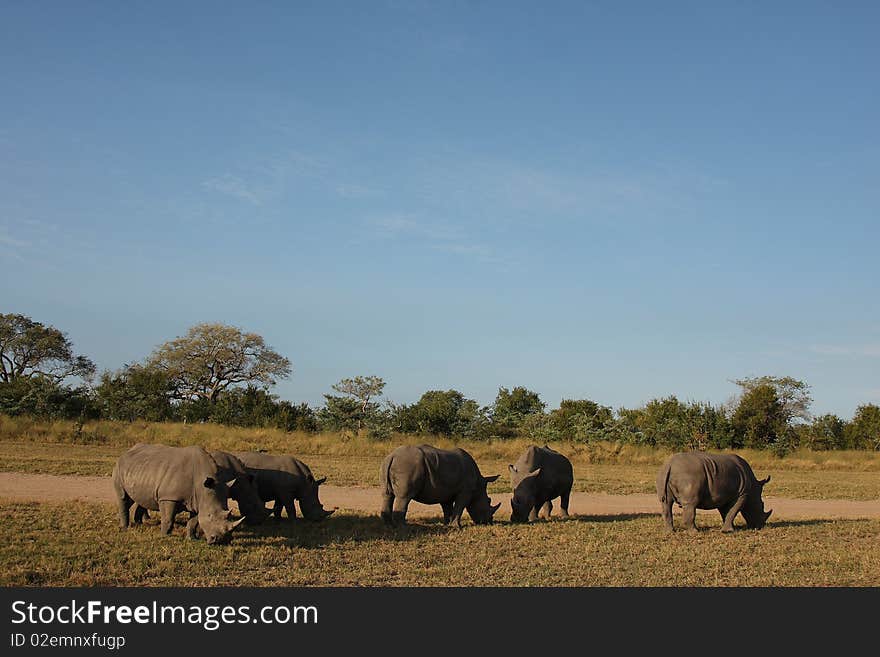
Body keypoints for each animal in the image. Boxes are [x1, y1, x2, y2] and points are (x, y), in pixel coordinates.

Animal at [113, 444, 246, 544]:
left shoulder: (197, 500)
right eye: (210, 516)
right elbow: (168, 519)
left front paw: (192, 539)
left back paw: (139, 523)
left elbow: (193, 521)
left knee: (138, 498)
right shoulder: (169, 497)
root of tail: (126, 452)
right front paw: (164, 537)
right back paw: (124, 528)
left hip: (140, 469)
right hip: (118, 466)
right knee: (123, 497)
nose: (222, 541)